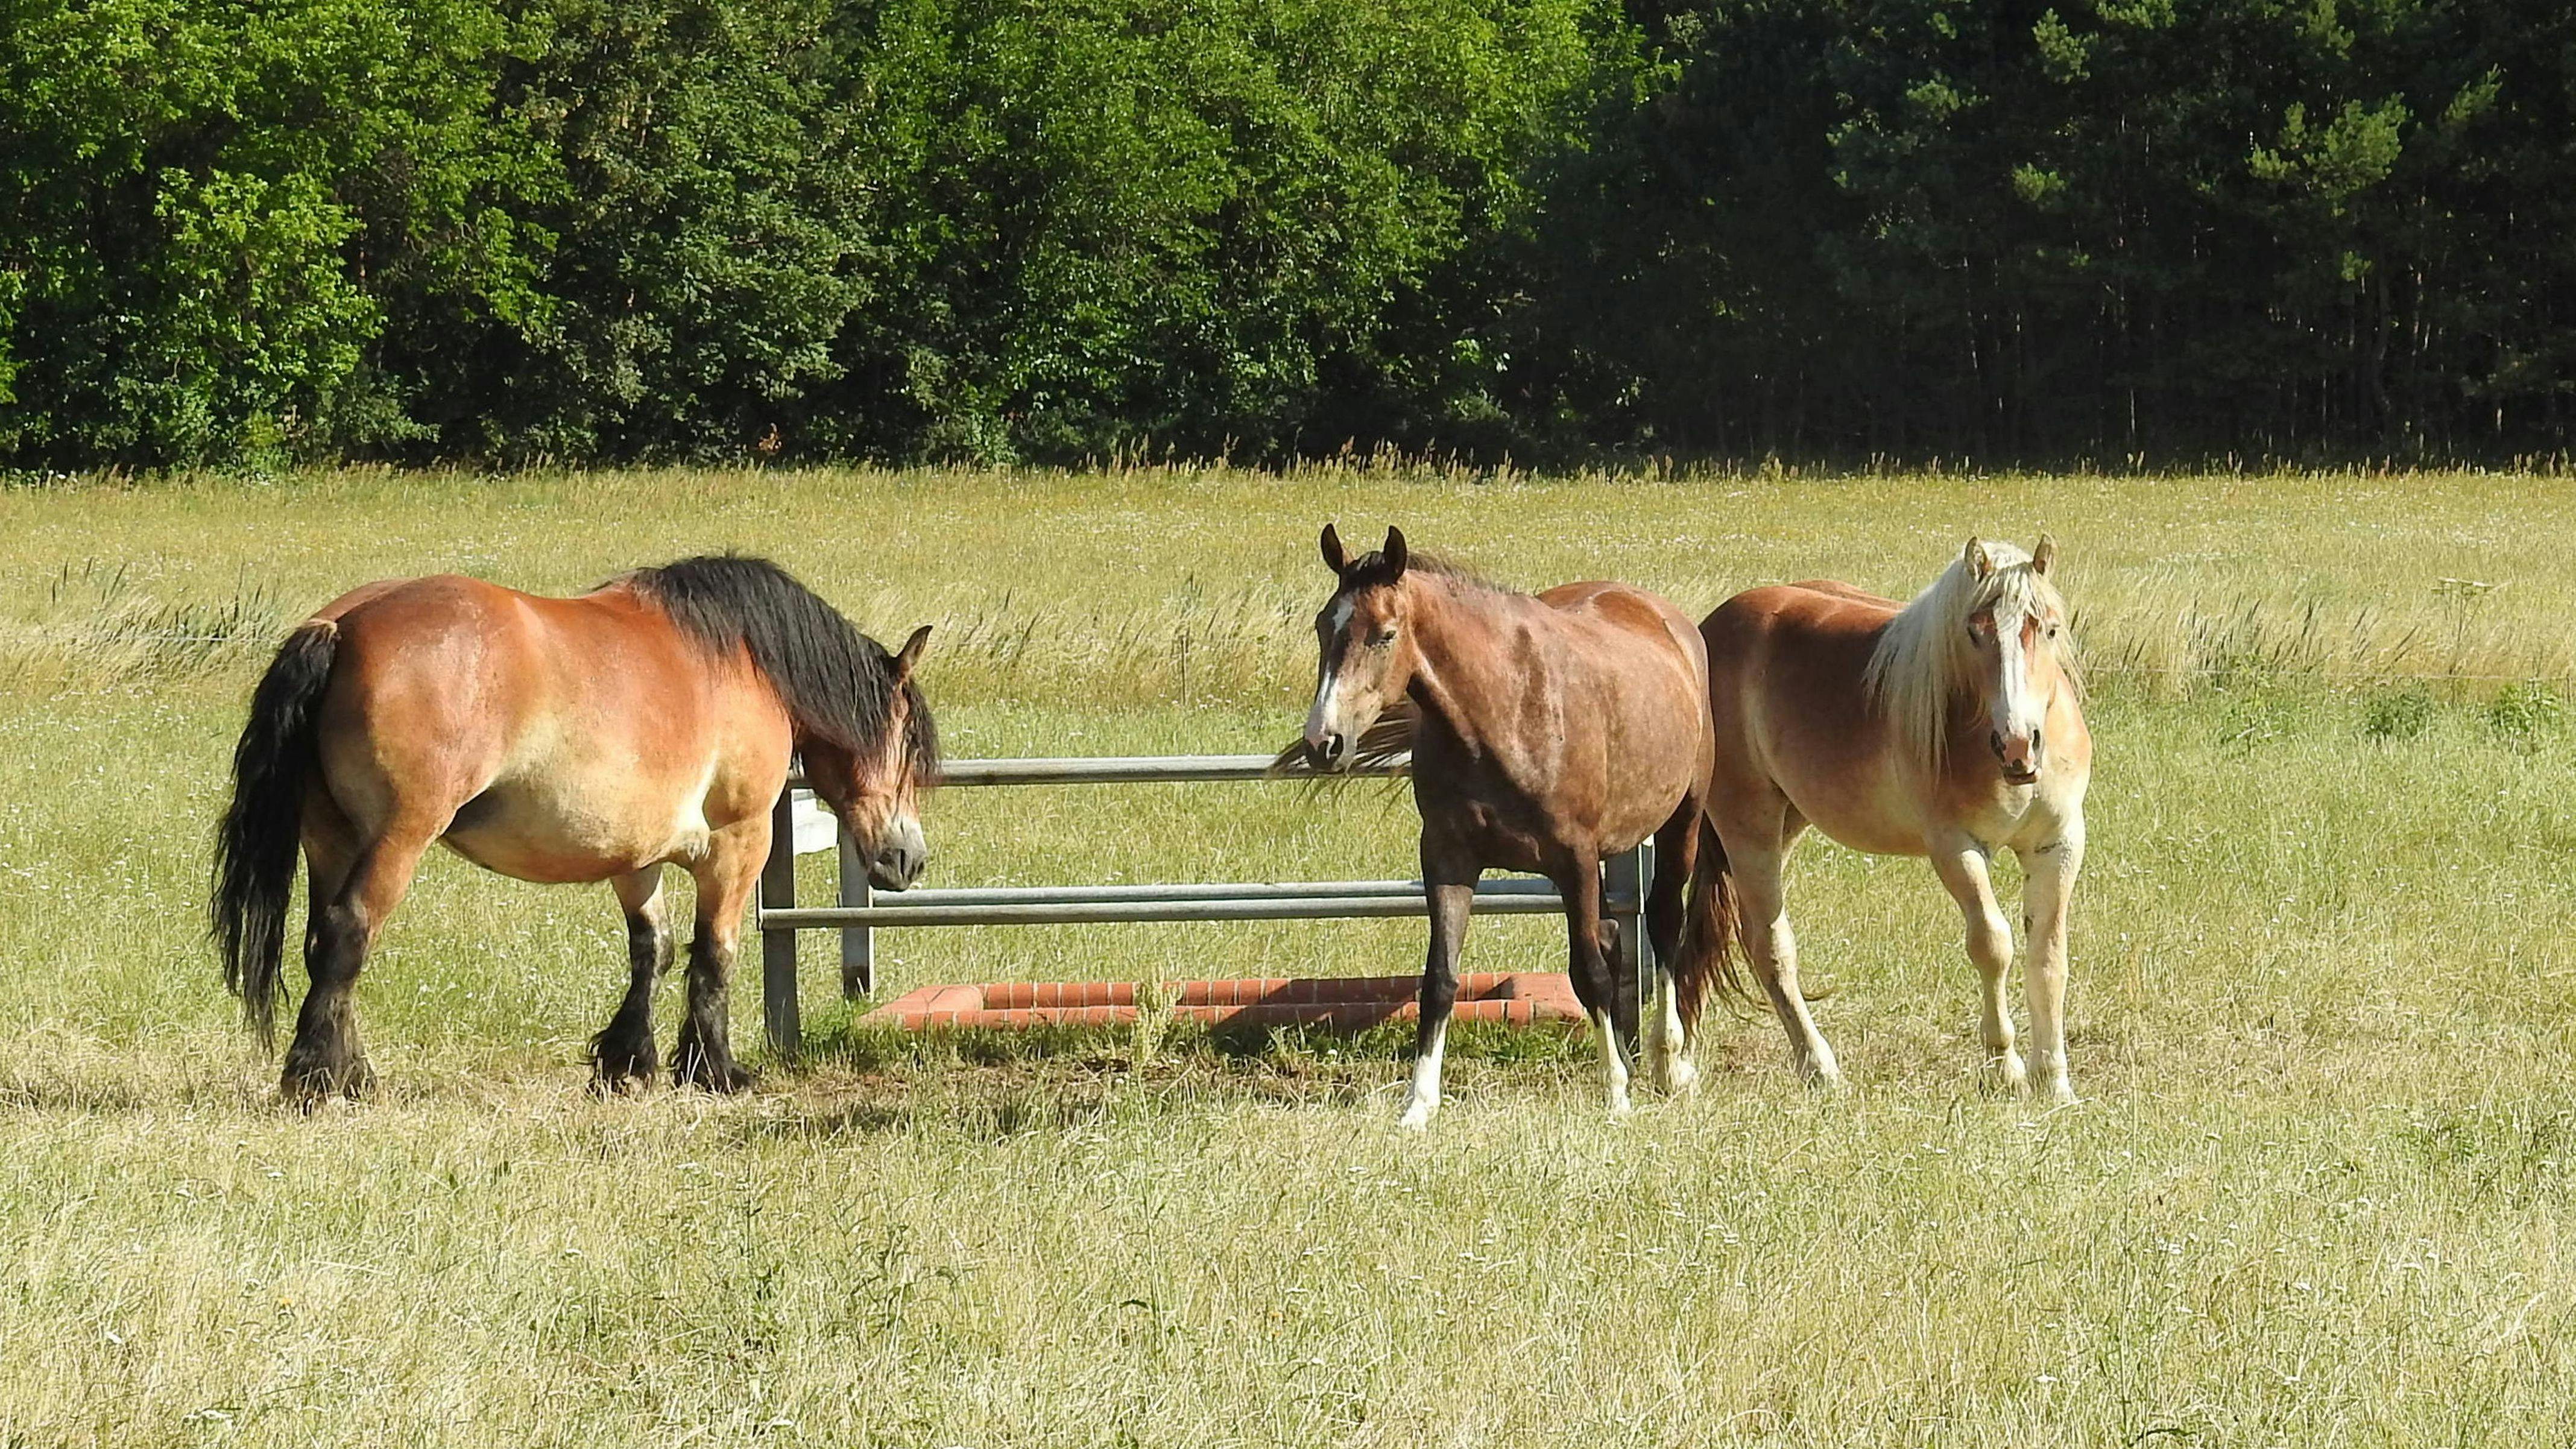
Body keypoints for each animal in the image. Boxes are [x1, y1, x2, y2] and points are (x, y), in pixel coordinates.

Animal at [211, 552, 938, 1093]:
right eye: (907, 743)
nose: (909, 859)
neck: (742, 658)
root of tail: (341, 627)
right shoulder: (739, 842)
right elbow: (714, 954)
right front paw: (715, 1068)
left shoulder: (634, 855)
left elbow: (653, 949)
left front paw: (628, 1061)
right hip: (397, 839)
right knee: (349, 931)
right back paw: (317, 1078)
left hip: (331, 840)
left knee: (323, 944)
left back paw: (351, 1070)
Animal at [1298, 523, 1720, 1124]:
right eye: (1322, 626)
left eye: (1384, 634)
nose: (1323, 743)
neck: (1505, 710)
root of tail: (1667, 619)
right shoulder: (1448, 858)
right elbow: (1440, 978)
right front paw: (1418, 1105)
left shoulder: (1575, 859)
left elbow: (1589, 973)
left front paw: (1616, 1094)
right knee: (1616, 936)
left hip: (1681, 818)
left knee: (1663, 922)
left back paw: (1669, 1064)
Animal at [1669, 538, 2091, 1093]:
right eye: (1973, 631)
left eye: (2049, 628)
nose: (2018, 744)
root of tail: (1707, 633)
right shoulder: (1956, 848)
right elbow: (1993, 945)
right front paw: (2006, 1064)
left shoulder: (2058, 844)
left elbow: (2049, 956)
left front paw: (2054, 1078)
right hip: (1748, 825)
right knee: (1770, 947)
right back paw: (1817, 1065)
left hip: (1786, 822)